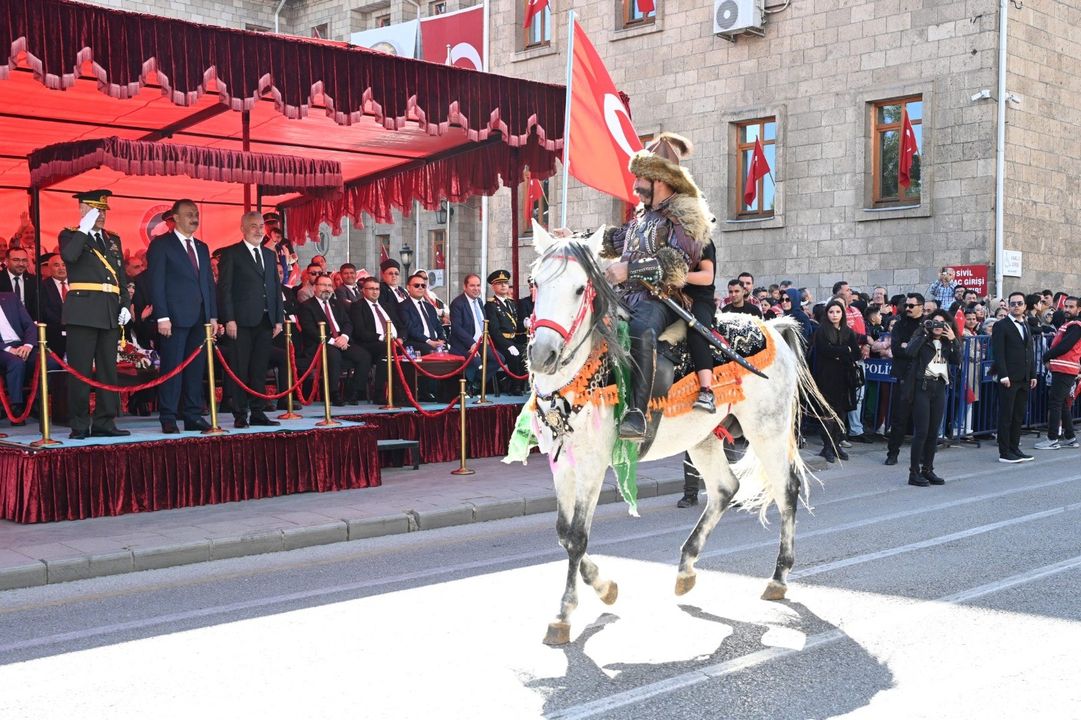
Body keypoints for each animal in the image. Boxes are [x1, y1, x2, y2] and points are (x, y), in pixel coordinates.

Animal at [518, 225, 821, 644]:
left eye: (580, 288)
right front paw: (605, 588)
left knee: (786, 489)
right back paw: (686, 570)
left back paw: (778, 578)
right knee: (725, 488)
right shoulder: (561, 460)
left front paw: (564, 615)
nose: (542, 354)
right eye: (534, 282)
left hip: (767, 429)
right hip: (704, 438)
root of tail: (770, 327)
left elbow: (577, 535)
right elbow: (564, 533)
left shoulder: (593, 464)